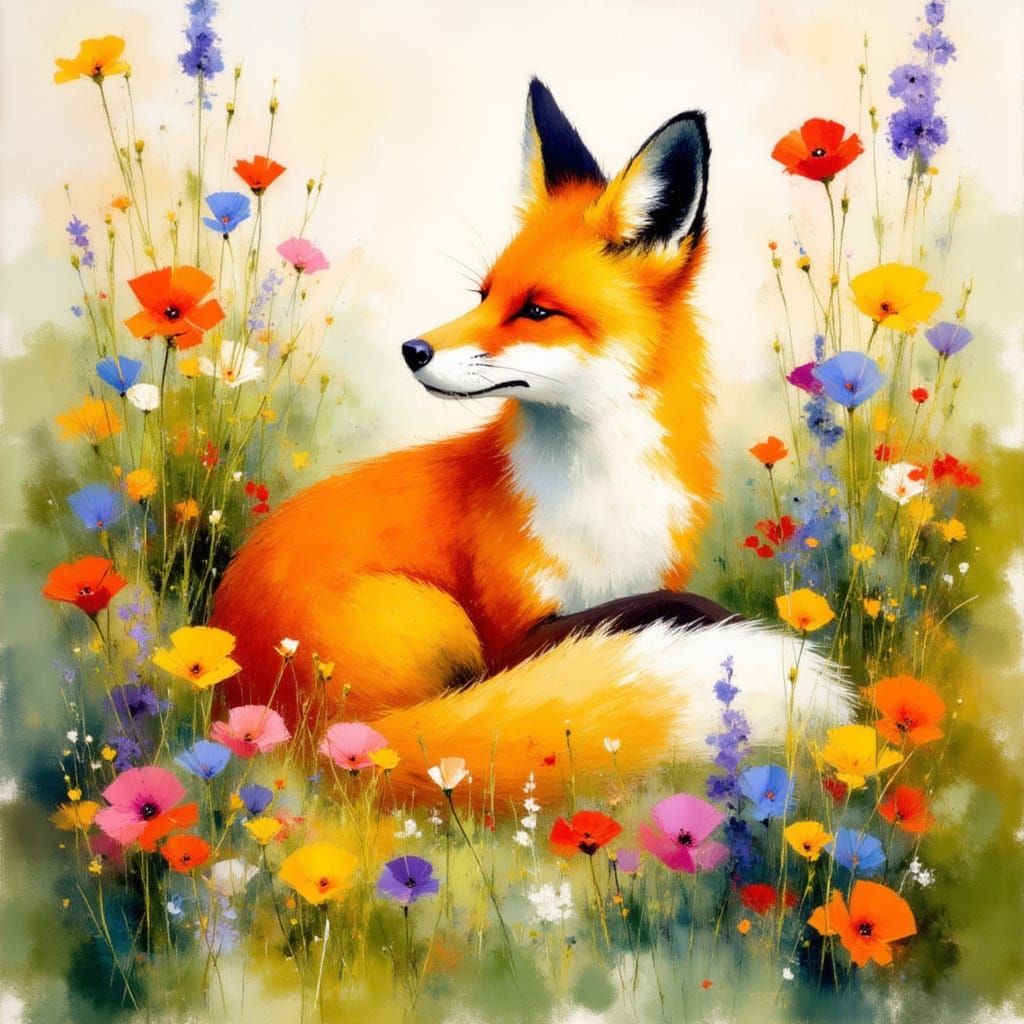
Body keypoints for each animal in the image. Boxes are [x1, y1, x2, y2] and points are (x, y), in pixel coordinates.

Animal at [211, 79, 849, 804]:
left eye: (536, 311)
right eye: (484, 295)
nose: (412, 350)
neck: (601, 497)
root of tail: (310, 734)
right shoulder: (509, 630)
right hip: (436, 616)